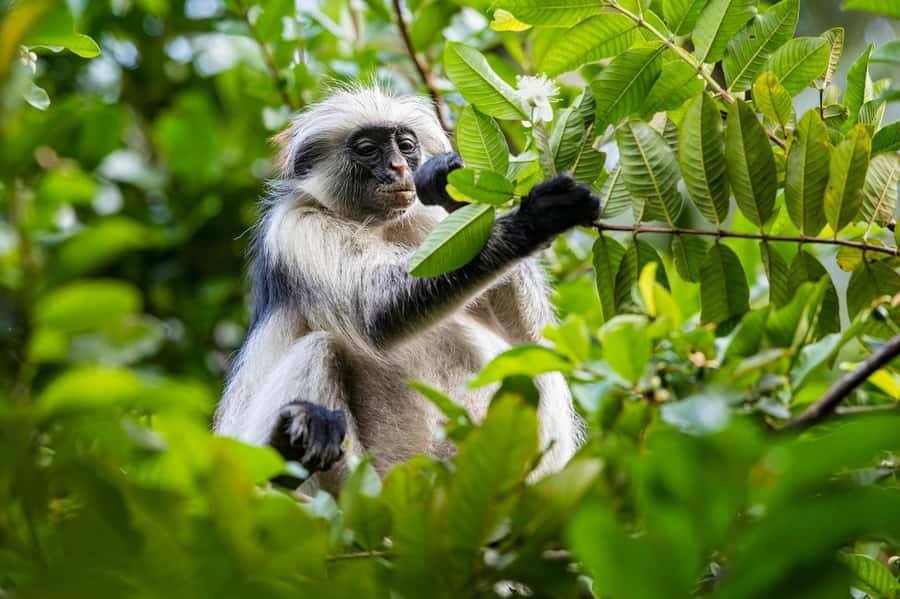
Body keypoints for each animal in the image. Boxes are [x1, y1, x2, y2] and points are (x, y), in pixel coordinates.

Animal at [213, 85, 599, 494]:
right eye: (367, 149)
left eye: (406, 145)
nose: (399, 168)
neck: (375, 224)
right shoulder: (296, 227)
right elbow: (376, 312)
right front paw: (537, 218)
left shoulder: (426, 220)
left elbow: (535, 339)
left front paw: (457, 187)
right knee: (317, 349)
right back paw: (289, 449)